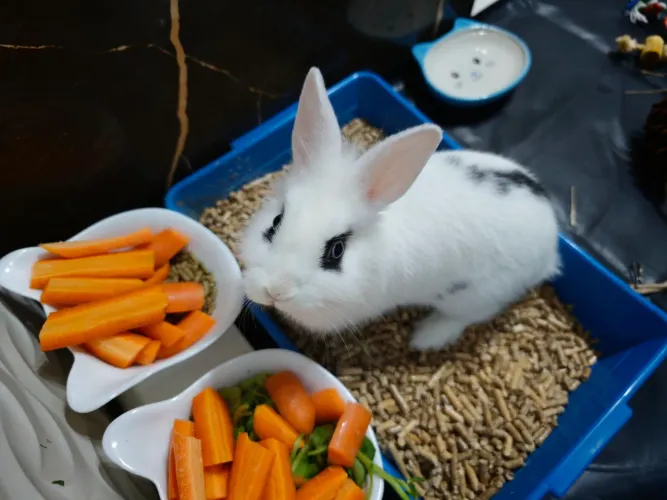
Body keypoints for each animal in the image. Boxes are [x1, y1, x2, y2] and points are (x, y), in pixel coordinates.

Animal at [241, 67, 560, 351]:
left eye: (337, 250)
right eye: (276, 221)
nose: (276, 290)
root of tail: (551, 239)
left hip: (476, 295)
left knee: (470, 316)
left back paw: (427, 336)